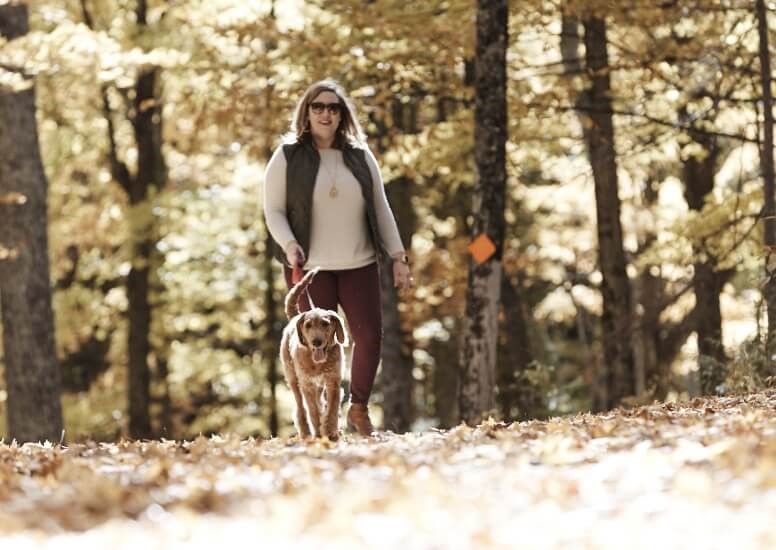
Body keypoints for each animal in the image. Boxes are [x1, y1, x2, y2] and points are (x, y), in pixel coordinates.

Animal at [280, 270, 348, 442]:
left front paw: (330, 431)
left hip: (319, 385)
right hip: (293, 380)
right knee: (300, 407)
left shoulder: (333, 381)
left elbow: (332, 408)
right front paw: (319, 432)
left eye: (325, 324)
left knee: (320, 402)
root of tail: (295, 317)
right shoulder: (307, 385)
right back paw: (306, 432)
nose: (316, 342)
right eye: (308, 325)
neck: (317, 363)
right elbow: (313, 410)